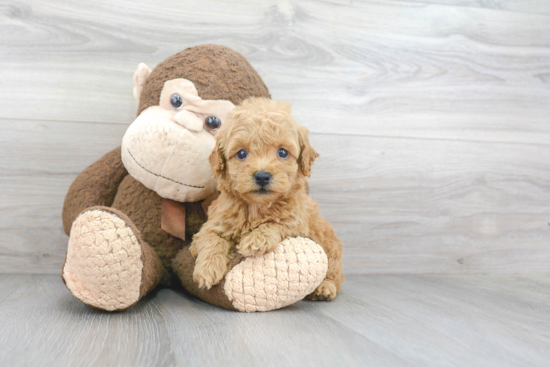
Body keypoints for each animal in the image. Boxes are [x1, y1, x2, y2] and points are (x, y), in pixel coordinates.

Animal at [191, 98, 344, 302]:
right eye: (241, 153)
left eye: (282, 152)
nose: (262, 176)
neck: (257, 207)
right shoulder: (212, 225)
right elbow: (211, 239)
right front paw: (207, 269)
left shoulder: (298, 225)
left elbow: (277, 224)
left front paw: (256, 239)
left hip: (330, 247)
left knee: (334, 273)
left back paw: (324, 288)